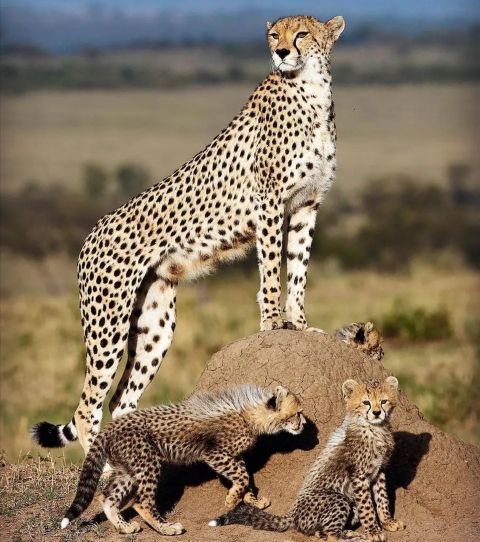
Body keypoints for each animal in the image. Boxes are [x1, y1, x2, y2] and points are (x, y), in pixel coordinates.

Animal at [32, 14, 344, 456]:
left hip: (155, 325)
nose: (282, 52)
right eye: (274, 35)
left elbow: (298, 269)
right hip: (108, 324)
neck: (311, 89)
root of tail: (91, 233)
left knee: (120, 400)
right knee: (86, 407)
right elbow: (271, 269)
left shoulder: (306, 205)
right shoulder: (269, 203)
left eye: (301, 34)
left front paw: (299, 325)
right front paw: (272, 323)